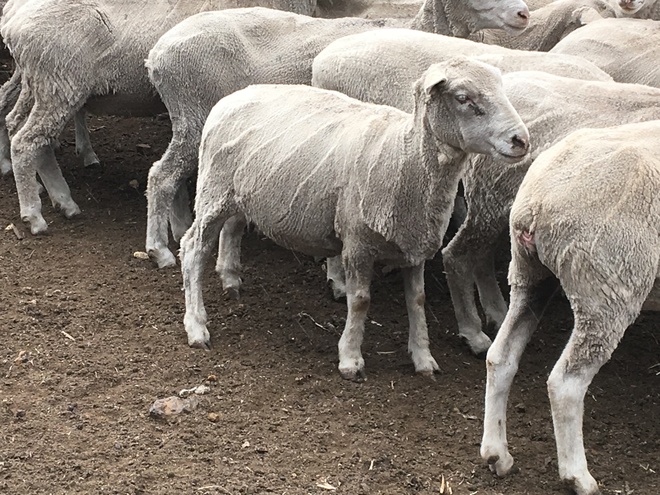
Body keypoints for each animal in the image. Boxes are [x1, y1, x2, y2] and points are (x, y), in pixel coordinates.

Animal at [0, 0, 328, 235]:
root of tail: (15, 21)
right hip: (59, 85)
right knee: (26, 140)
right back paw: (35, 213)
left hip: (43, 85)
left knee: (20, 125)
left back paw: (60, 198)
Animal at [144, 0, 532, 269]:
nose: (524, 13)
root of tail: (156, 54)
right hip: (194, 114)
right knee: (161, 175)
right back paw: (159, 248)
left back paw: (178, 228)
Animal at [179, 57, 530, 380]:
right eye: (462, 97)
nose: (521, 140)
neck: (405, 157)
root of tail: (231, 98)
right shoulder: (358, 243)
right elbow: (360, 300)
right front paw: (350, 358)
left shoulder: (414, 242)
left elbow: (417, 300)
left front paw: (423, 358)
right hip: (212, 191)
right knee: (193, 248)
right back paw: (196, 326)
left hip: (241, 193)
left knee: (232, 227)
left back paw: (230, 278)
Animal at [480, 119, 660, 495]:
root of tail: (536, 202)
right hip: (608, 288)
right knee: (565, 384)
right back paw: (578, 476)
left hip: (529, 275)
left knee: (500, 357)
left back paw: (496, 454)